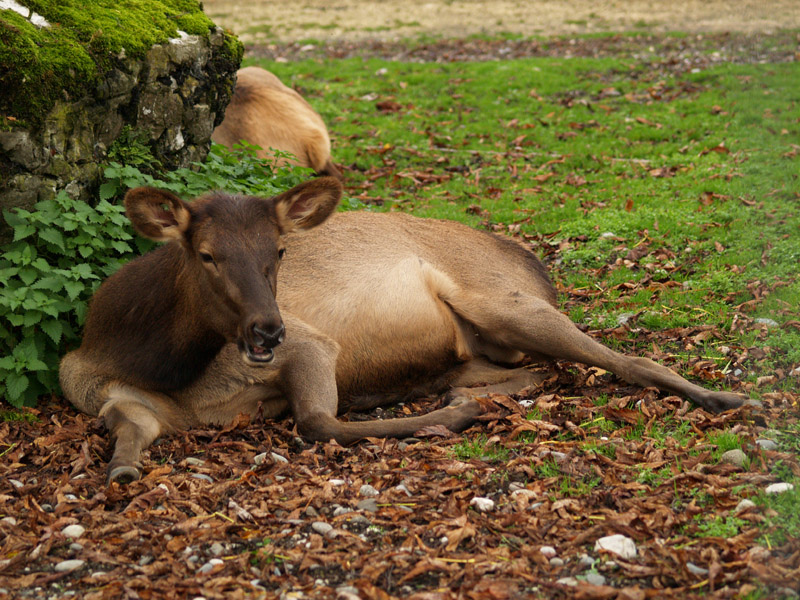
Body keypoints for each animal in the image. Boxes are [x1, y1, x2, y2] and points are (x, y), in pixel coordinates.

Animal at [59, 177, 748, 483]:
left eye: (278, 251)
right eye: (204, 254)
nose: (265, 332)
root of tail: (531, 260)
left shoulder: (312, 342)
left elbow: (319, 423)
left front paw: (453, 419)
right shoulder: (113, 397)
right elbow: (129, 431)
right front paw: (121, 469)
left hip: (503, 299)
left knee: (626, 360)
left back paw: (727, 397)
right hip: (477, 346)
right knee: (541, 369)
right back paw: (465, 391)